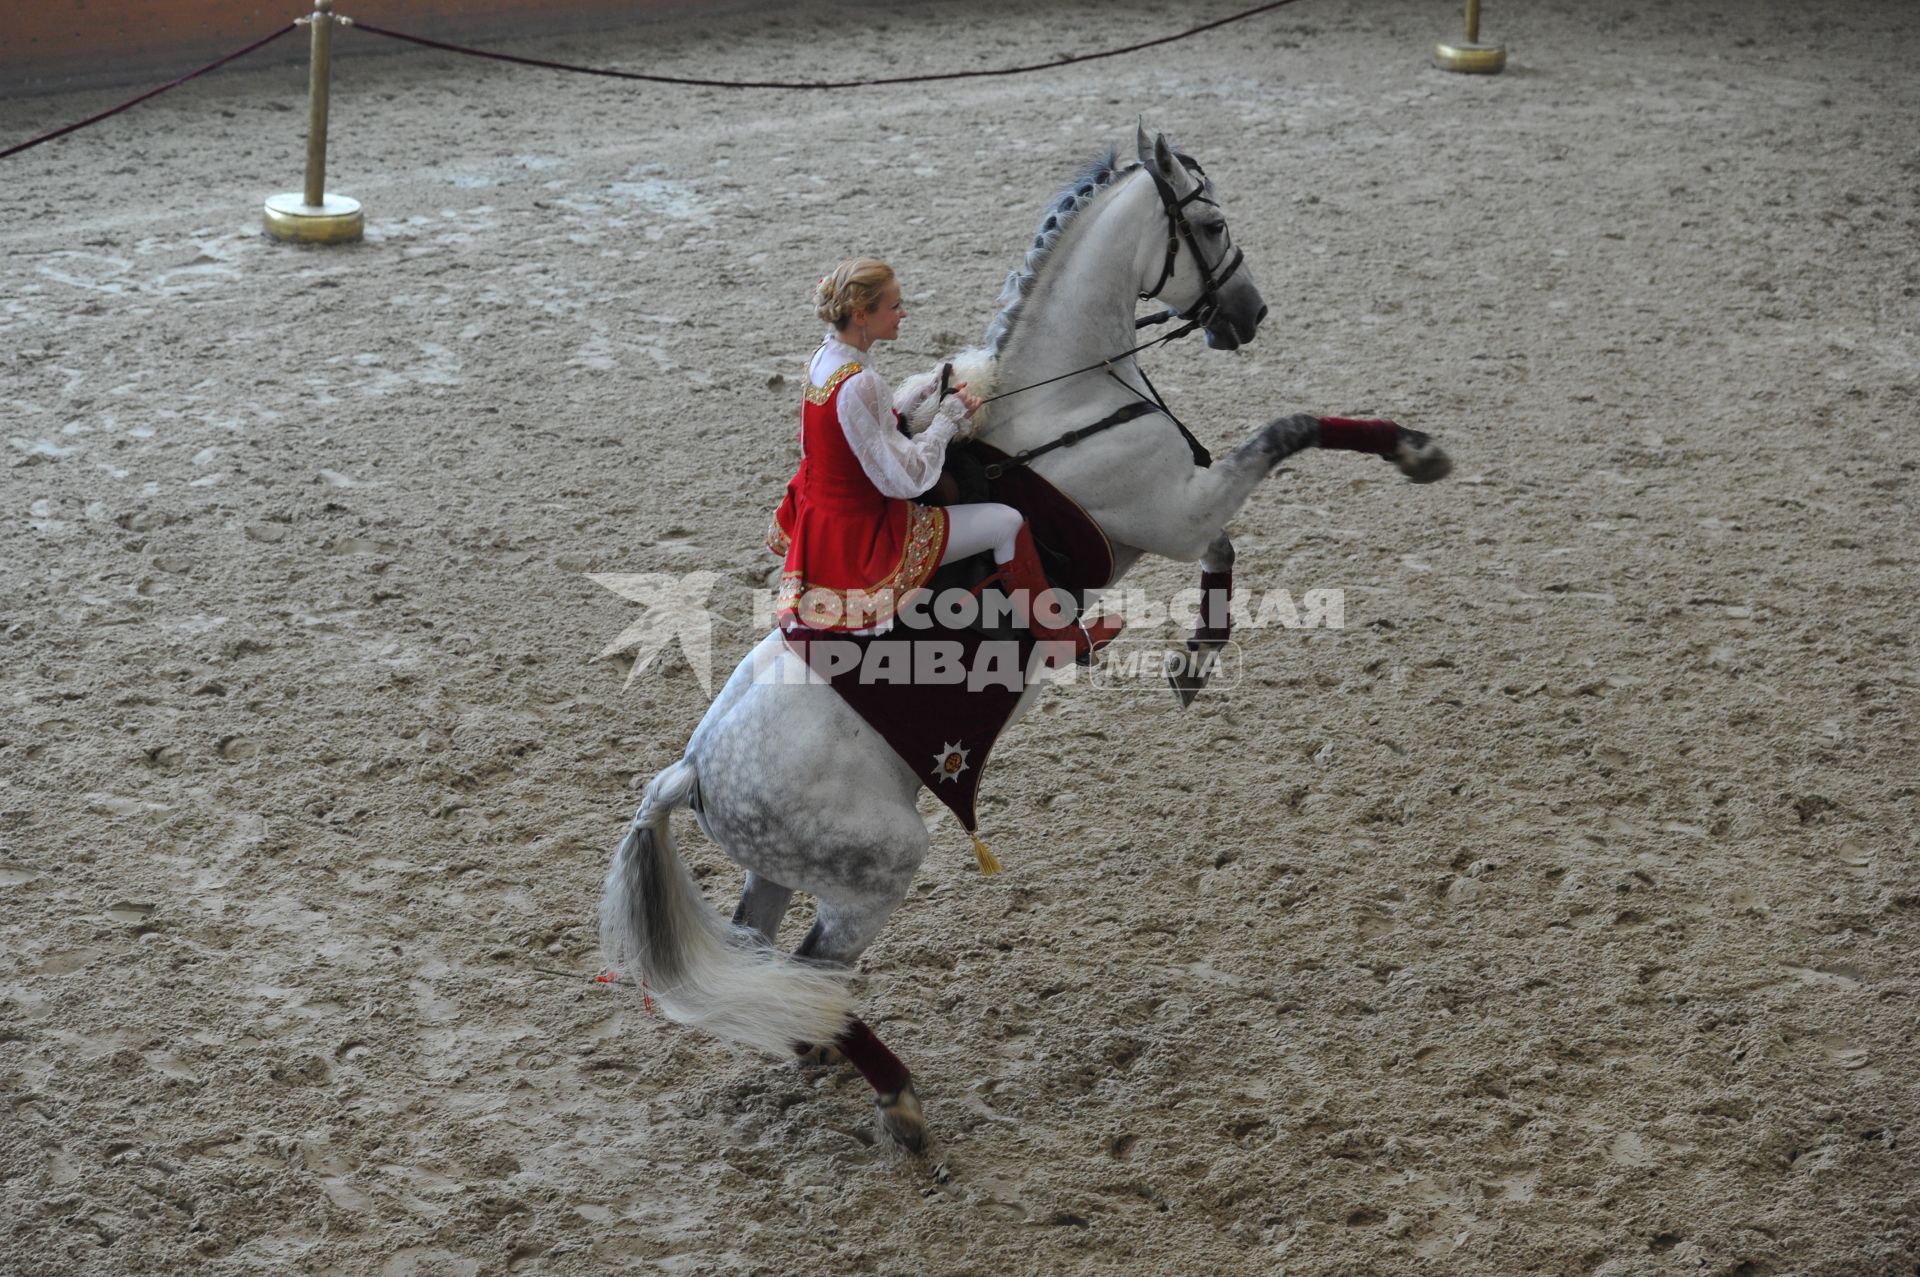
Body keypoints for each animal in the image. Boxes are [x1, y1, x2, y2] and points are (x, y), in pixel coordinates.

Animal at [599, 124, 1443, 1152]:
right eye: (1208, 223)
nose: (1248, 313)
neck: (1069, 403)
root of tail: (692, 770)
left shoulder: (1180, 517)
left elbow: (1227, 547)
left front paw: (1195, 656)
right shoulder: (1176, 507)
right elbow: (1291, 431)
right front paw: (1414, 449)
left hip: (776, 866)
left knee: (766, 950)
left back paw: (811, 1044)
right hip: (877, 868)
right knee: (812, 959)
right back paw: (897, 1097)